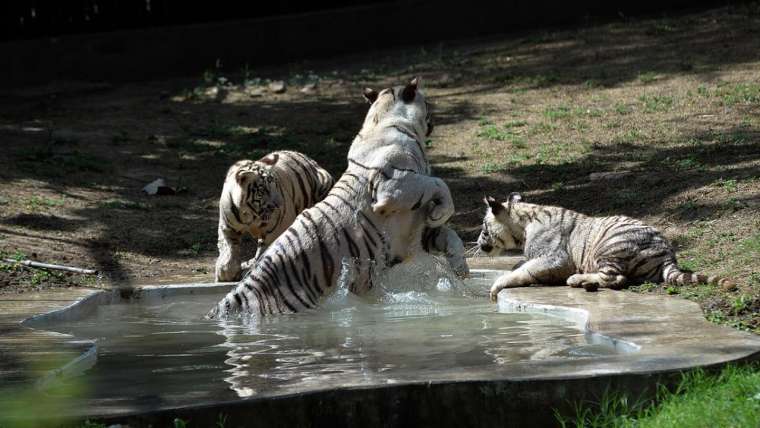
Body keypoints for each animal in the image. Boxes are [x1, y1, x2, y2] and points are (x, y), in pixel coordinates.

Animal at [214, 152, 332, 282]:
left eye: (276, 185)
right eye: (263, 190)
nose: (279, 204)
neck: (249, 213)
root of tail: (311, 160)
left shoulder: (277, 228)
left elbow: (266, 252)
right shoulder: (227, 227)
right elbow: (229, 248)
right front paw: (225, 272)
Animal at [478, 194, 732, 300]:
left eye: (483, 226)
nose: (479, 243)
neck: (522, 225)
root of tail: (668, 253)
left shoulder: (555, 259)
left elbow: (524, 270)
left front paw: (496, 286)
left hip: (609, 246)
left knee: (615, 278)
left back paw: (578, 280)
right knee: (620, 280)